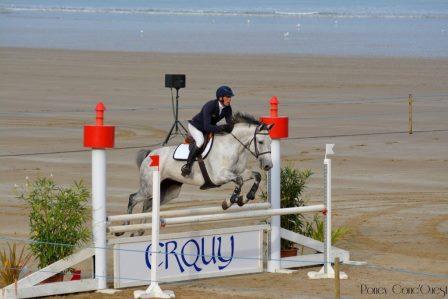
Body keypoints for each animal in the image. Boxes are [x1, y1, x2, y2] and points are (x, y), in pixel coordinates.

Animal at [114, 112, 272, 237]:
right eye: (260, 141)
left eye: (271, 142)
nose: (268, 165)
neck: (232, 147)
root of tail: (149, 154)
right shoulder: (219, 176)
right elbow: (239, 181)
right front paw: (229, 201)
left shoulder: (239, 172)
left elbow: (256, 176)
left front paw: (245, 198)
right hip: (148, 188)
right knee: (133, 198)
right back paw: (122, 230)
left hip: (169, 191)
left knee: (148, 205)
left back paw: (139, 230)